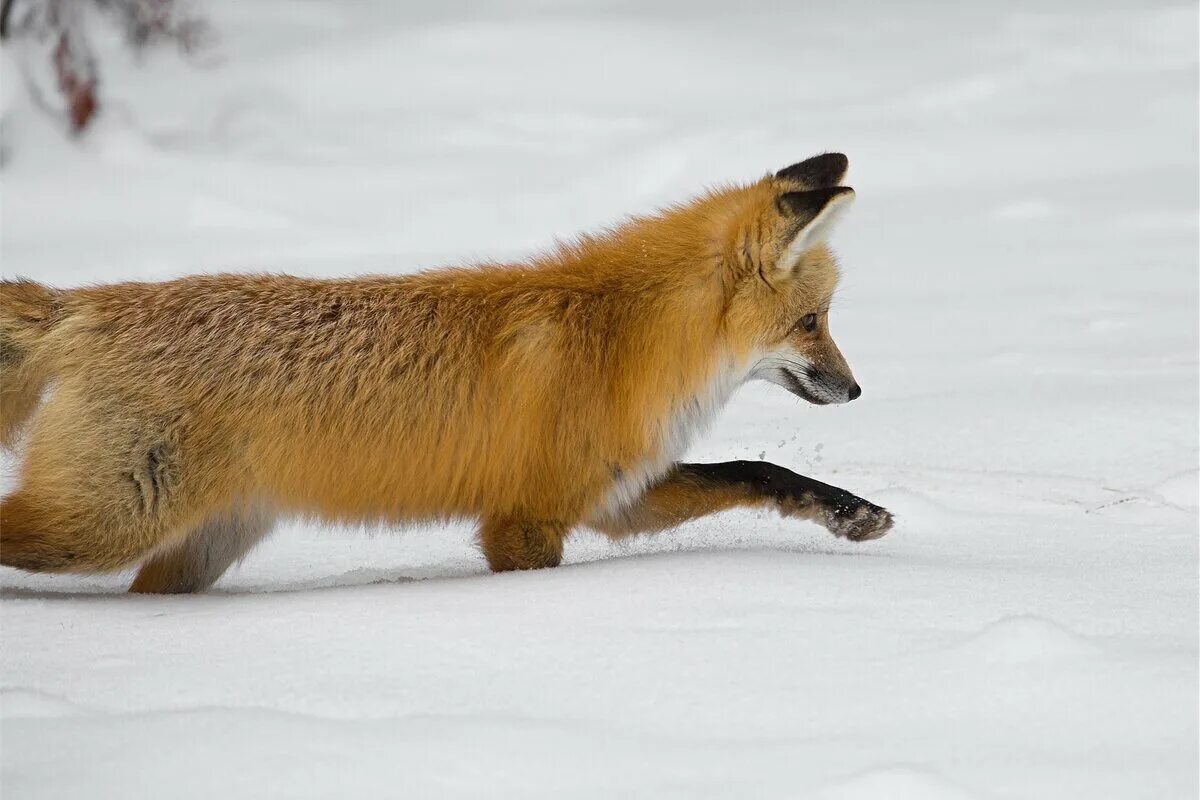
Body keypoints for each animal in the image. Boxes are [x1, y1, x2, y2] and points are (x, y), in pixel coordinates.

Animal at [0, 153, 892, 592]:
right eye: (812, 323)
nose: (856, 390)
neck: (624, 336)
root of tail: (87, 304)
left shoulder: (612, 497)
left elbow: (756, 470)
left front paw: (852, 514)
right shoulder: (523, 523)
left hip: (197, 546)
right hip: (103, 525)